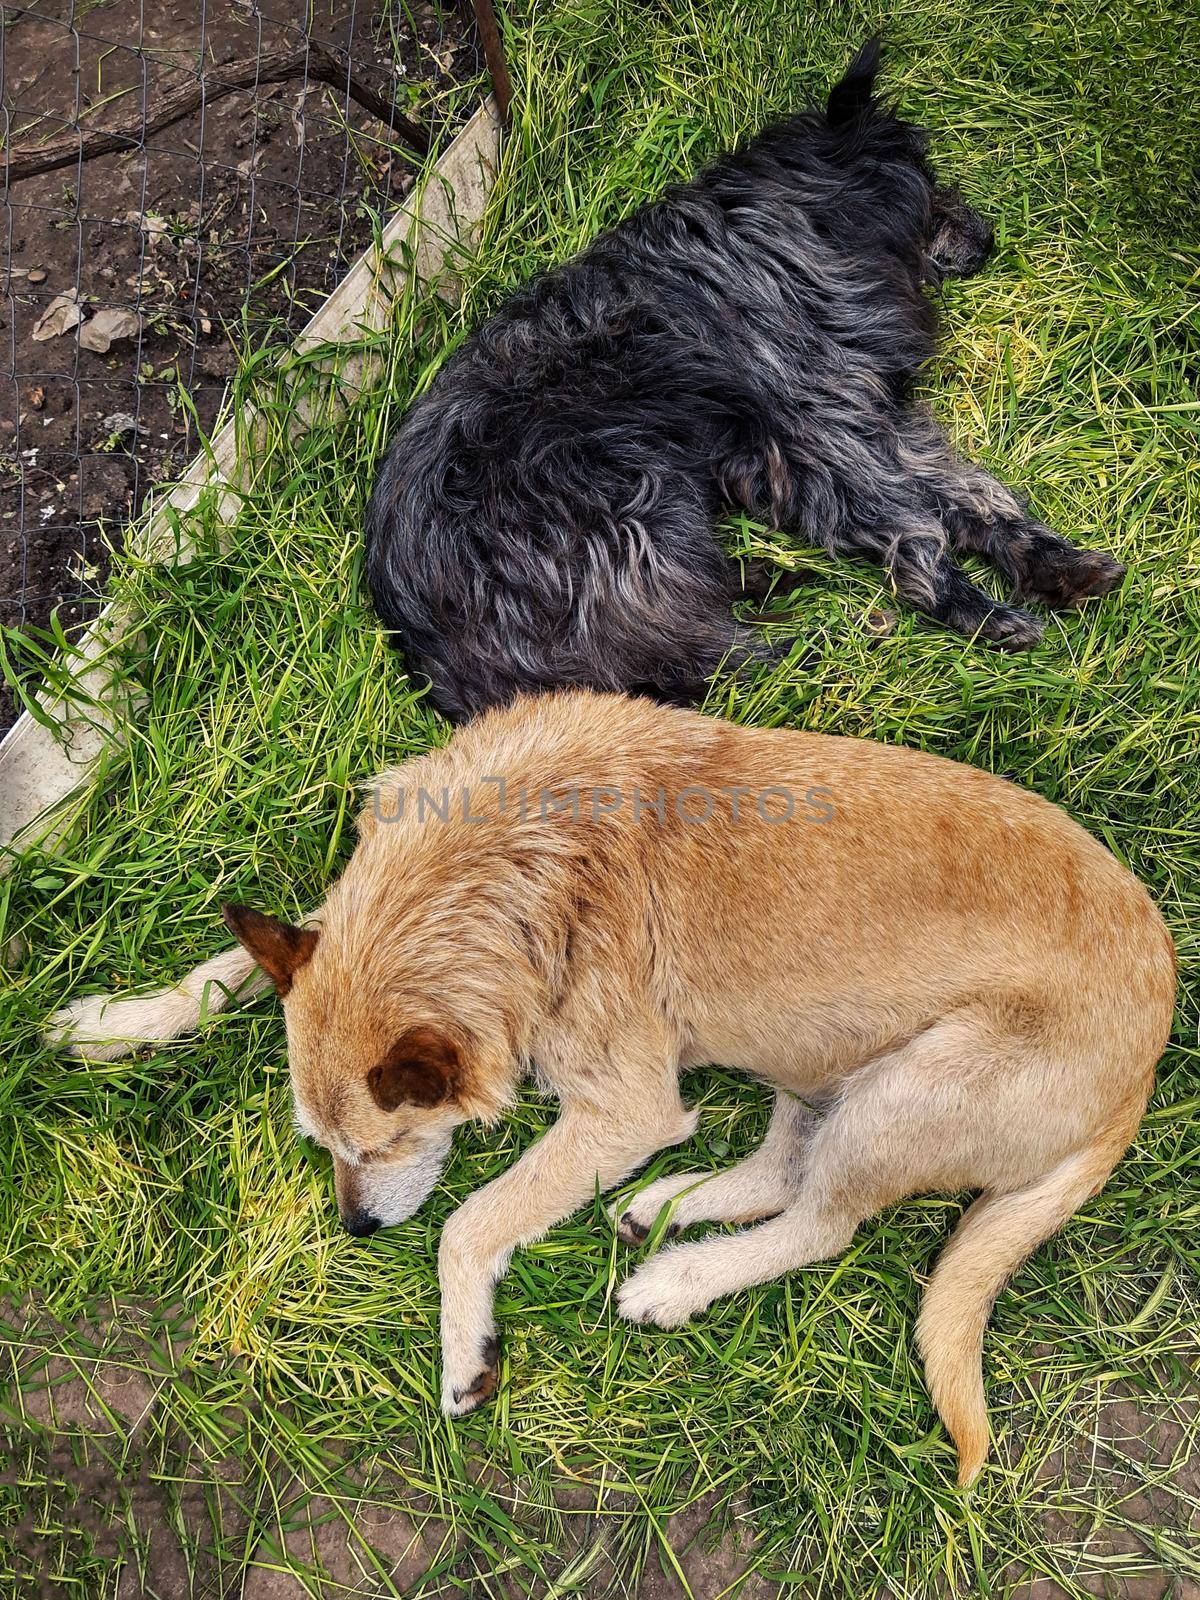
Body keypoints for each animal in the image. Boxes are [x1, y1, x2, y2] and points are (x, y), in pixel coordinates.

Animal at [49, 694, 1177, 1478]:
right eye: (320, 1147)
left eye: (378, 1149)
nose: (357, 1227)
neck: (502, 868)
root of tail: (1148, 1060)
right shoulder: (344, 924)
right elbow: (223, 970)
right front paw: (111, 1022)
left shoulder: (624, 1106)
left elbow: (470, 1222)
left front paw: (463, 1350)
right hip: (813, 1056)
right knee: (785, 1165)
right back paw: (666, 1207)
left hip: (901, 1092)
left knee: (824, 1223)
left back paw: (676, 1280)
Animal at [369, 39, 1126, 720]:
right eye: (924, 174)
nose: (987, 236)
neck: (793, 224)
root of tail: (431, 658)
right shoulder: (823, 434)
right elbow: (916, 525)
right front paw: (974, 608)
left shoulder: (853, 426)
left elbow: (970, 497)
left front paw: (1055, 566)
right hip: (633, 521)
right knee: (706, 660)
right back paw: (819, 650)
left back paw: (769, 577)